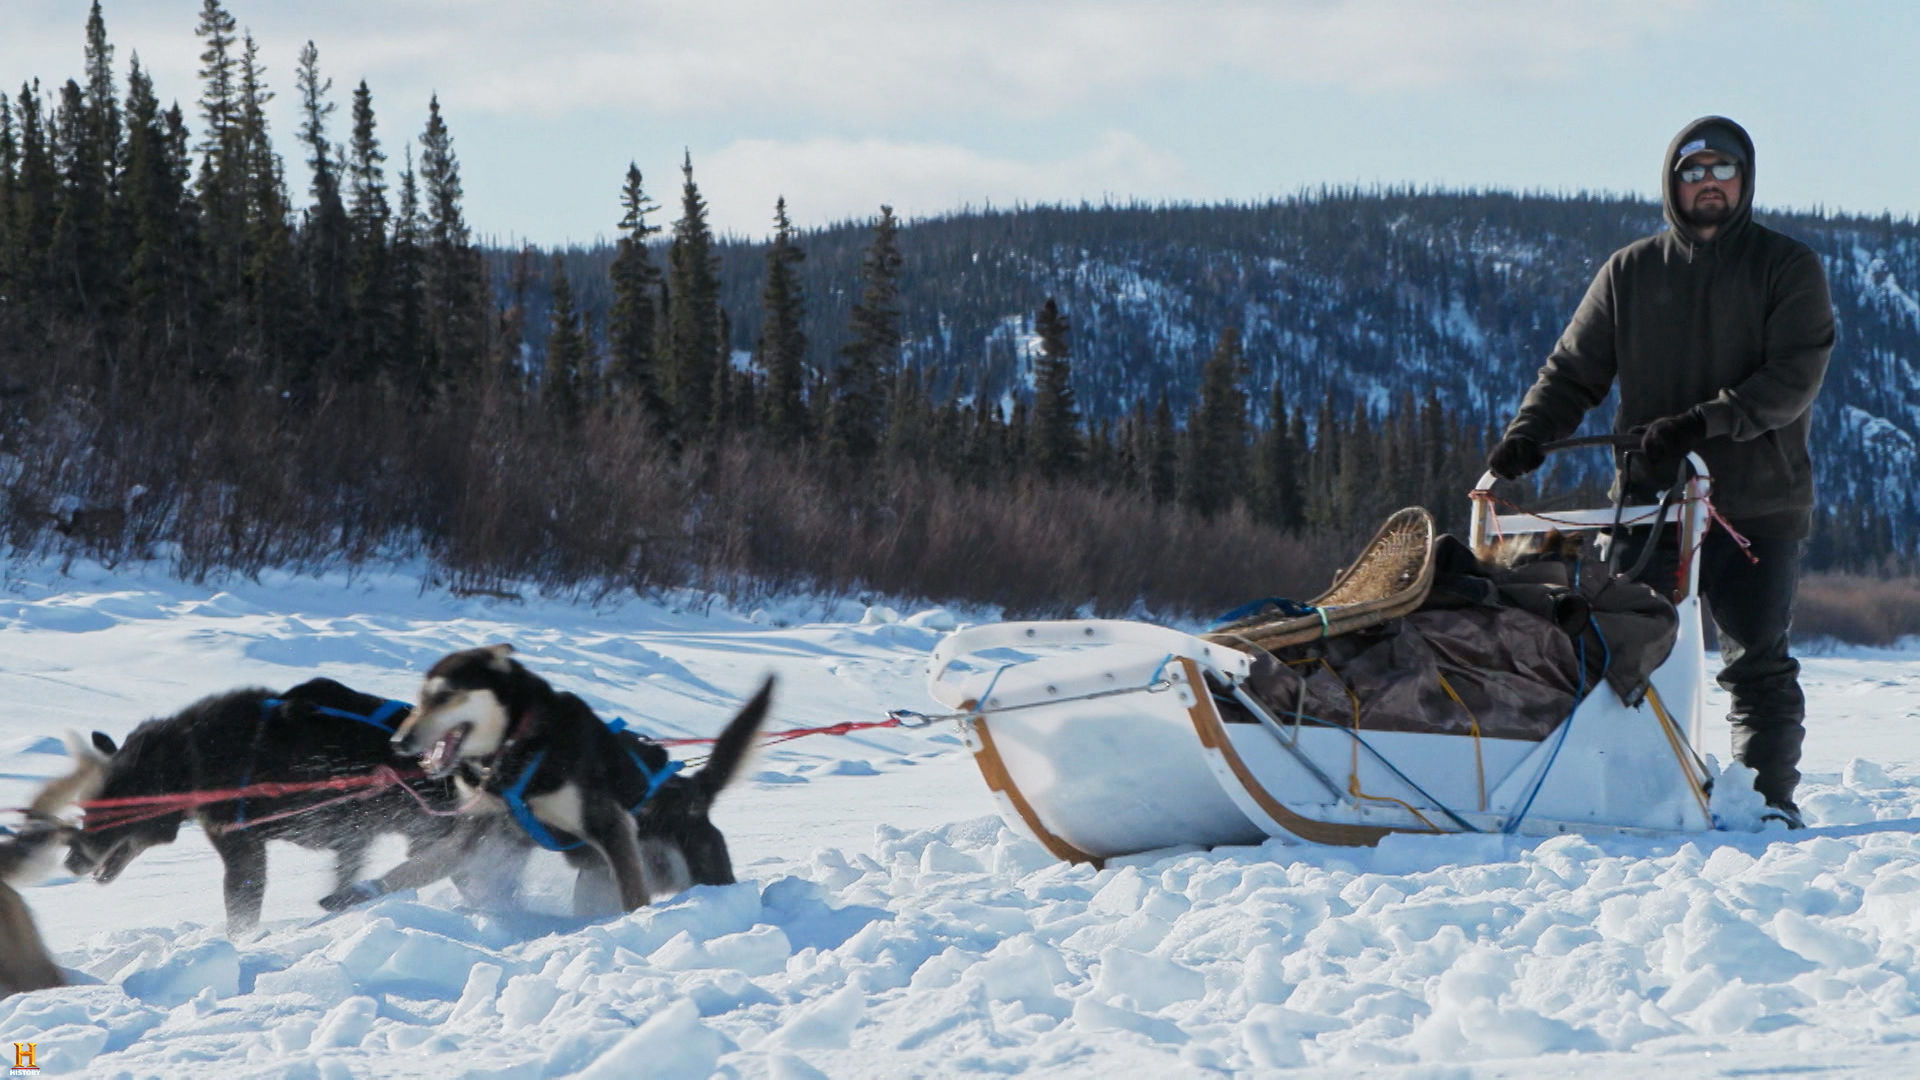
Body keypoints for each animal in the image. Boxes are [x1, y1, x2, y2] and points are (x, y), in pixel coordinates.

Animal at [378, 641, 775, 910]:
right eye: (420, 699)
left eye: (445, 695)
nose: (398, 741)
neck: (516, 745)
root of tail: (693, 792)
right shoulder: (472, 835)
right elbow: (398, 874)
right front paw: (362, 896)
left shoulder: (611, 825)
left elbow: (634, 900)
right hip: (596, 886)